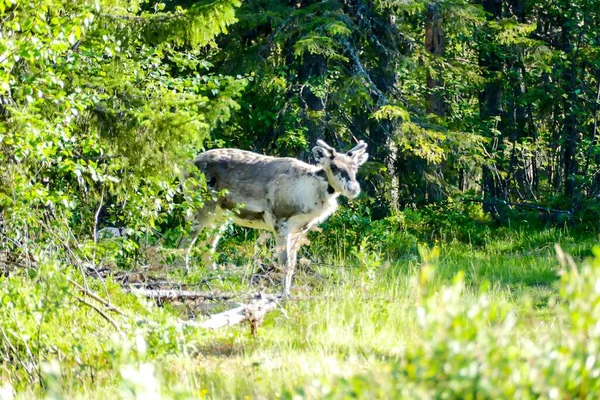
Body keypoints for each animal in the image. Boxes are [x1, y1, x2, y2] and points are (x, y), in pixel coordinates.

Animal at [185, 139, 368, 296]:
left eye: (355, 167)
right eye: (334, 166)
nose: (353, 188)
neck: (308, 193)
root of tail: (185, 166)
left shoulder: (299, 230)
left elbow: (293, 264)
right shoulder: (279, 221)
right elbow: (285, 263)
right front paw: (284, 294)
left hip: (221, 217)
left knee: (206, 250)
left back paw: (218, 283)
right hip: (201, 206)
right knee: (185, 243)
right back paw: (184, 275)